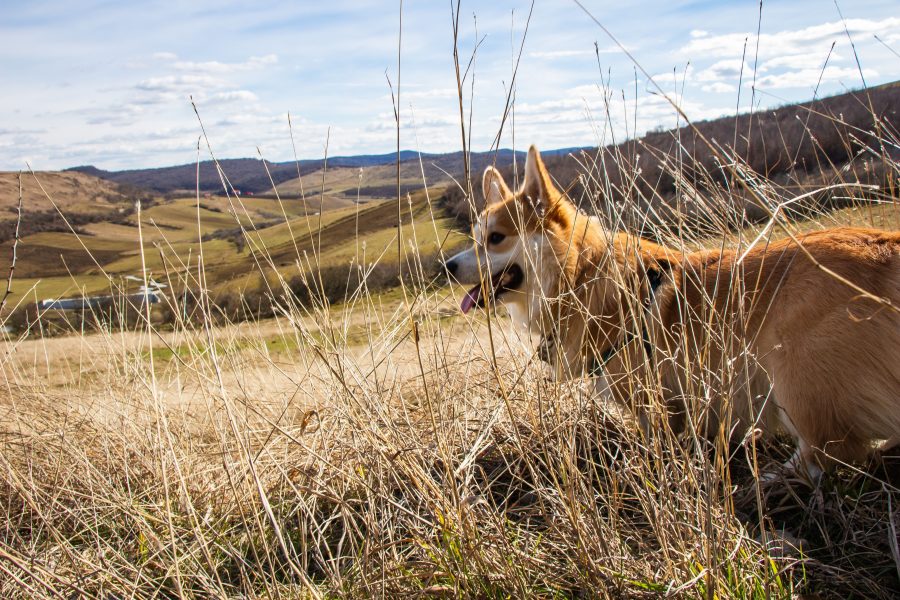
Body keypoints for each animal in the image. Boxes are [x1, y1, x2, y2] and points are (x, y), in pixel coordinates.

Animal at [444, 144, 900, 478]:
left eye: (496, 238)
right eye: (475, 238)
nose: (446, 266)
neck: (582, 273)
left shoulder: (655, 401)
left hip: (792, 373)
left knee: (830, 452)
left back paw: (773, 478)